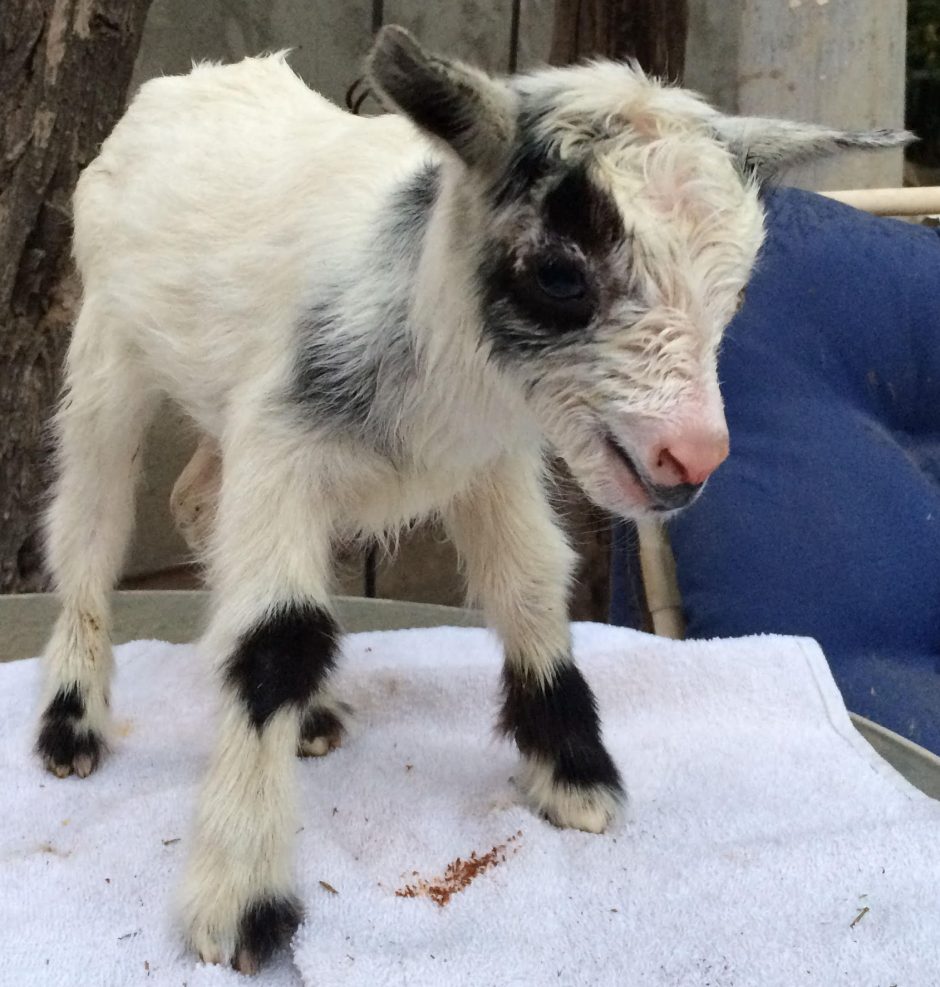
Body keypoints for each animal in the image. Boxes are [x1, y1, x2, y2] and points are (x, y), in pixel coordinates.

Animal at [35, 26, 907, 973]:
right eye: (559, 274)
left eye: (738, 287)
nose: (692, 454)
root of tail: (187, 85)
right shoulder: (284, 445)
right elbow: (277, 638)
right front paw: (241, 901)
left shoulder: (489, 461)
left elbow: (528, 589)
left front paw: (575, 774)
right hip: (108, 350)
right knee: (90, 521)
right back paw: (71, 724)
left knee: (195, 500)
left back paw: (311, 715)